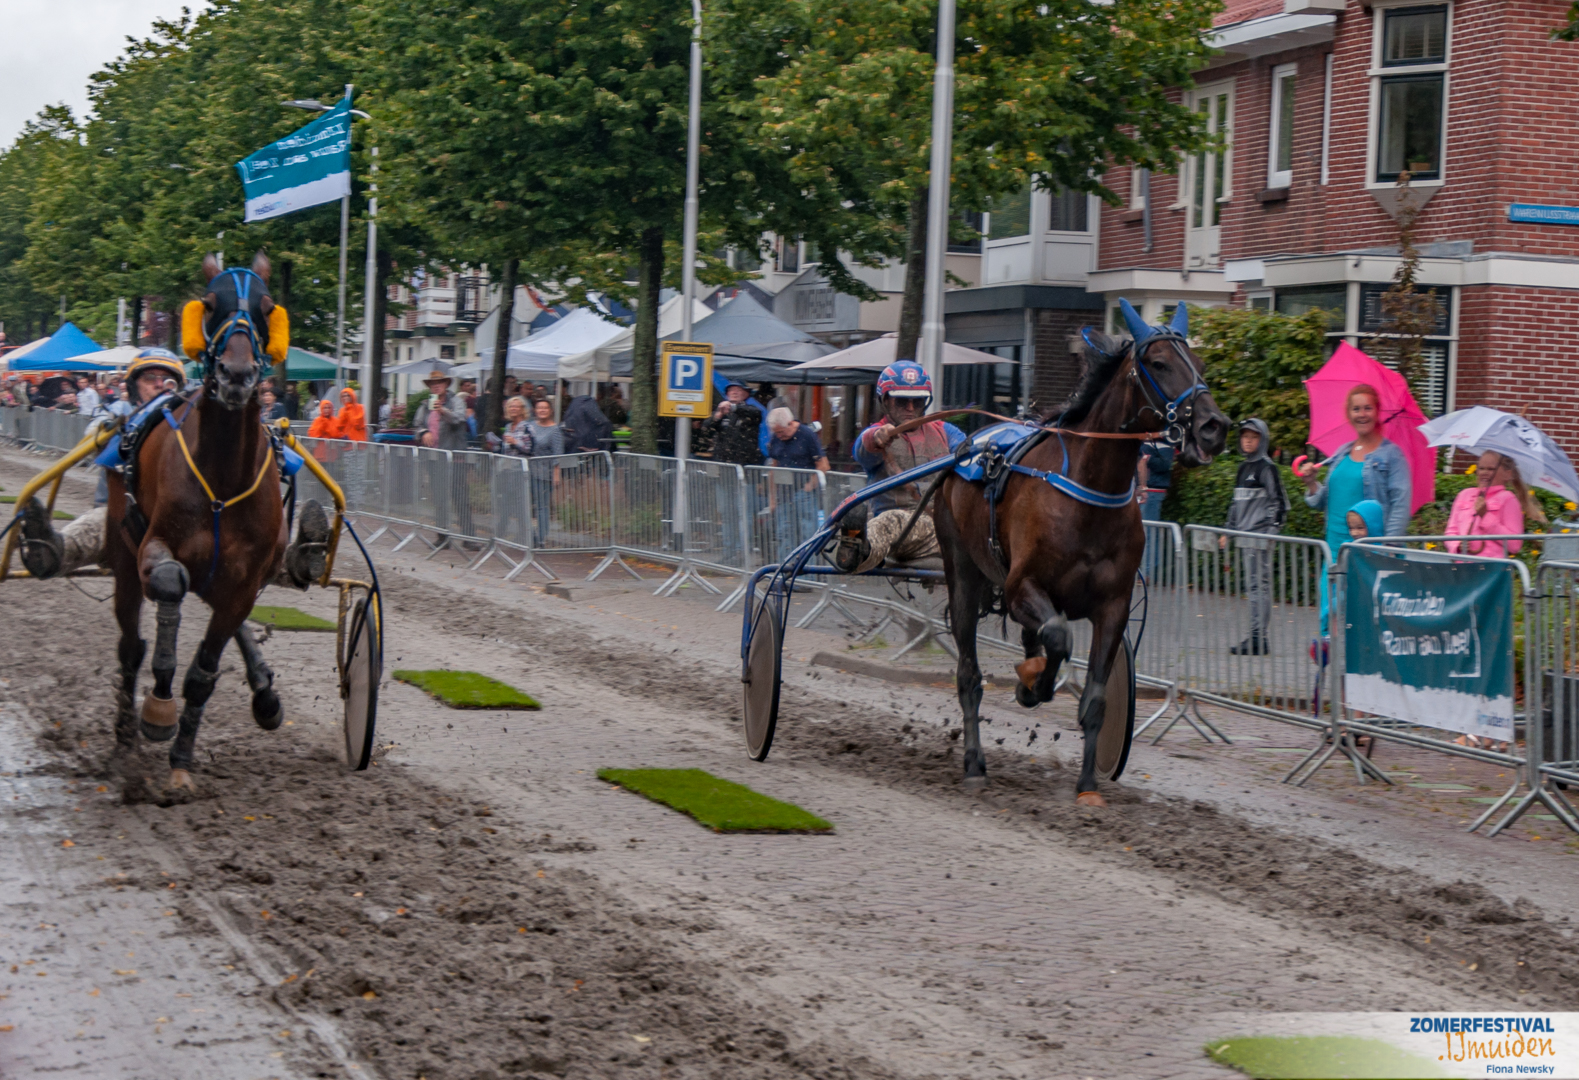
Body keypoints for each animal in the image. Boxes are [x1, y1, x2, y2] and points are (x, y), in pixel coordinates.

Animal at [106, 252, 302, 792]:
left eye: (267, 307)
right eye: (211, 304)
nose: (236, 374)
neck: (222, 478)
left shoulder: (243, 582)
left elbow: (204, 673)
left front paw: (181, 761)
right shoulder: (155, 548)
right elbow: (170, 583)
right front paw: (158, 707)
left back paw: (264, 694)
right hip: (123, 556)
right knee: (131, 644)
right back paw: (126, 735)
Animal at [933, 300, 1228, 805]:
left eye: (1202, 363)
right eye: (1158, 363)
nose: (1213, 427)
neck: (1090, 493)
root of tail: (966, 447)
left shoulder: (1113, 606)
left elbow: (1095, 696)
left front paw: (1089, 785)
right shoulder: (1021, 586)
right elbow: (1057, 635)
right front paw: (1034, 684)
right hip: (963, 572)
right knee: (969, 672)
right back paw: (974, 762)